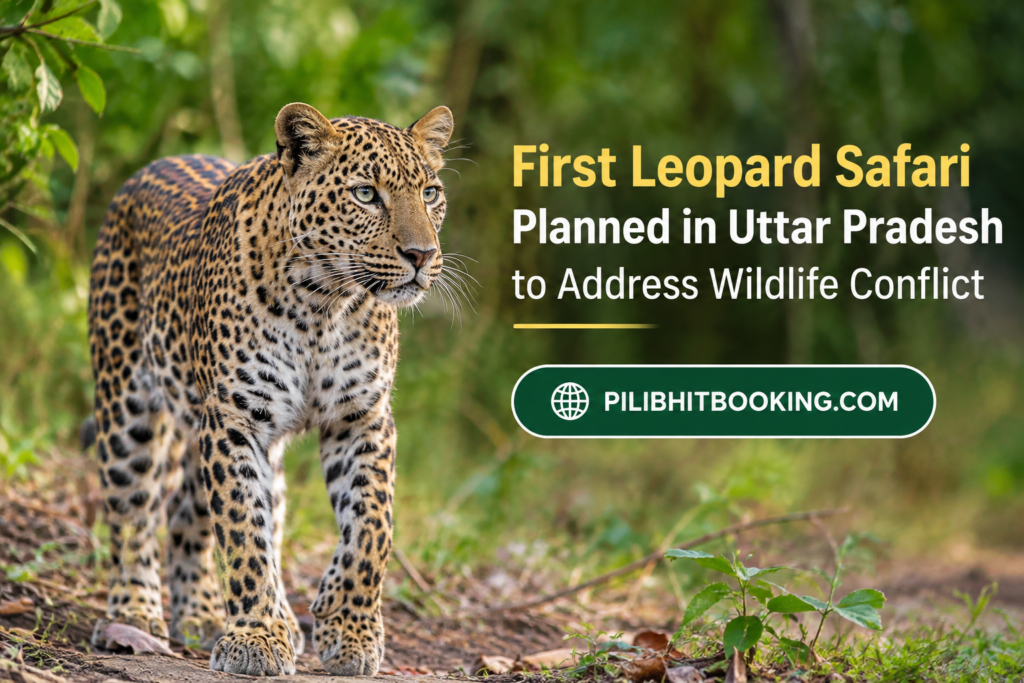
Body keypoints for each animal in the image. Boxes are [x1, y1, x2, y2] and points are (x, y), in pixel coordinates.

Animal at [85, 102, 455, 676]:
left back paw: (206, 613)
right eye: (365, 193)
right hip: (128, 408)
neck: (324, 304)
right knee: (133, 511)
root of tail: (151, 166)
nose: (422, 254)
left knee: (190, 513)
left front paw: (346, 628)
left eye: (431, 192)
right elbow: (243, 533)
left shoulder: (362, 419)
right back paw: (135, 612)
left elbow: (372, 527)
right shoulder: (234, 420)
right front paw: (258, 638)